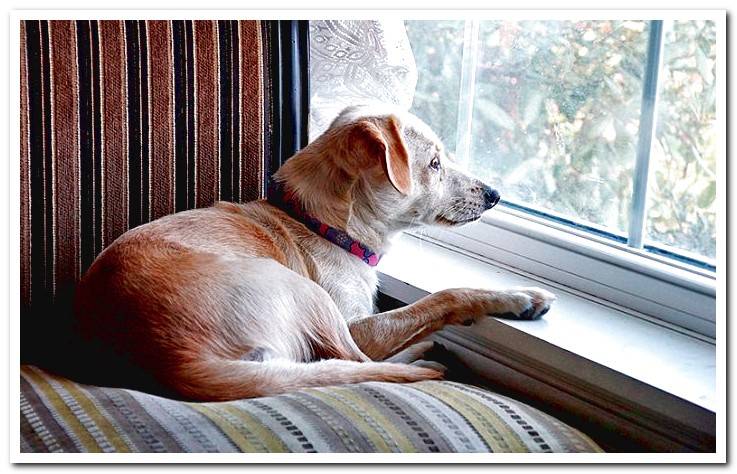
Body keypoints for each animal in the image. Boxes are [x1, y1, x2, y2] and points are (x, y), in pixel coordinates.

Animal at [76, 105, 556, 402]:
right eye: (435, 164)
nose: (494, 195)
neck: (322, 224)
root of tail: (177, 362)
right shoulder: (360, 324)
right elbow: (443, 297)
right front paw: (518, 297)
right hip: (307, 295)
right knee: (355, 361)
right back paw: (426, 356)